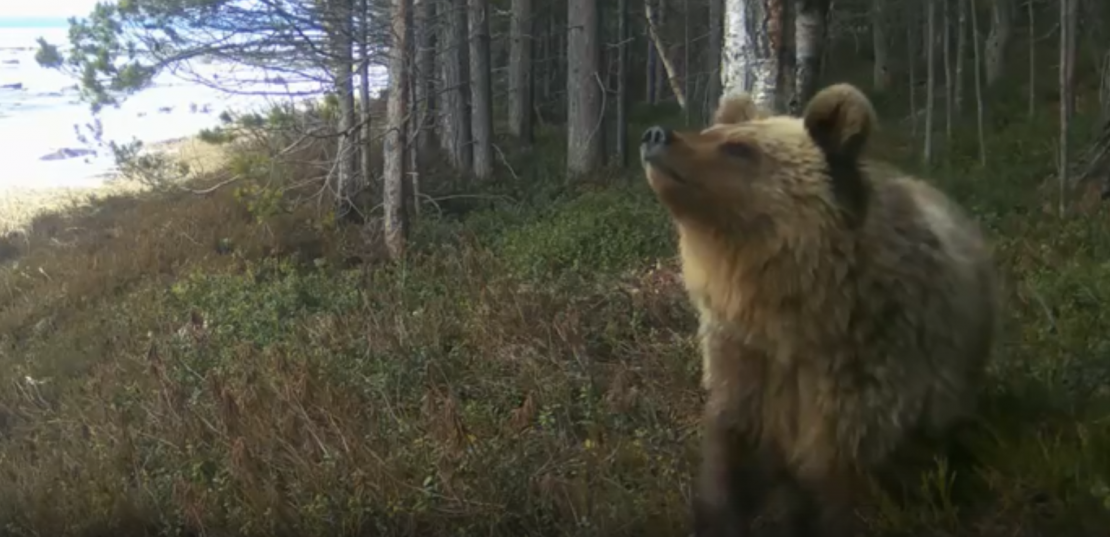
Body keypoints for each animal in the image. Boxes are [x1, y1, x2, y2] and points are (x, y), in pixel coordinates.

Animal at [638, 83, 999, 537]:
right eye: (712, 130)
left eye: (738, 147)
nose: (655, 135)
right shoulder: (744, 362)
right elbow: (731, 458)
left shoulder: (870, 376)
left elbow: (848, 491)